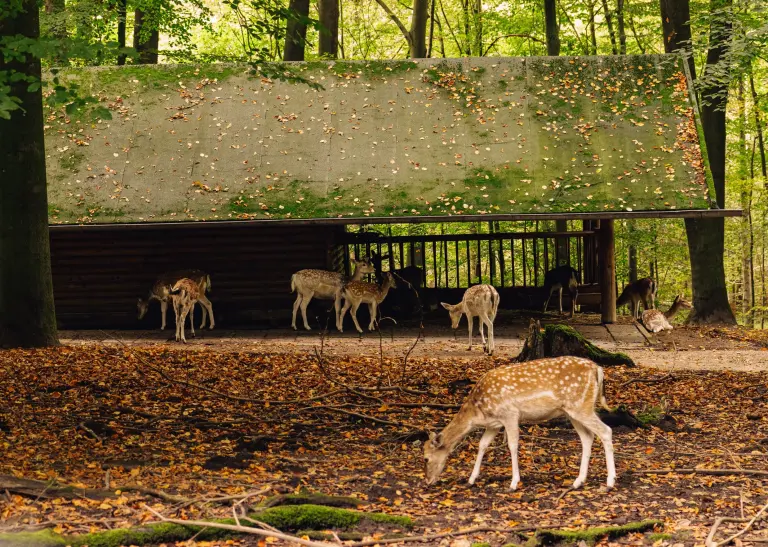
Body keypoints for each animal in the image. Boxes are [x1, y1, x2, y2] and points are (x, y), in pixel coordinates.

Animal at [424, 358, 616, 490]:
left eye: (426, 458)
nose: (427, 481)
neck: (478, 411)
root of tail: (598, 369)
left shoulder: (510, 414)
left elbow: (512, 445)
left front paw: (514, 483)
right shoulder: (494, 424)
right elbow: (482, 445)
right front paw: (471, 479)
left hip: (581, 406)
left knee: (606, 431)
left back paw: (610, 482)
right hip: (573, 412)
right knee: (588, 437)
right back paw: (578, 481)